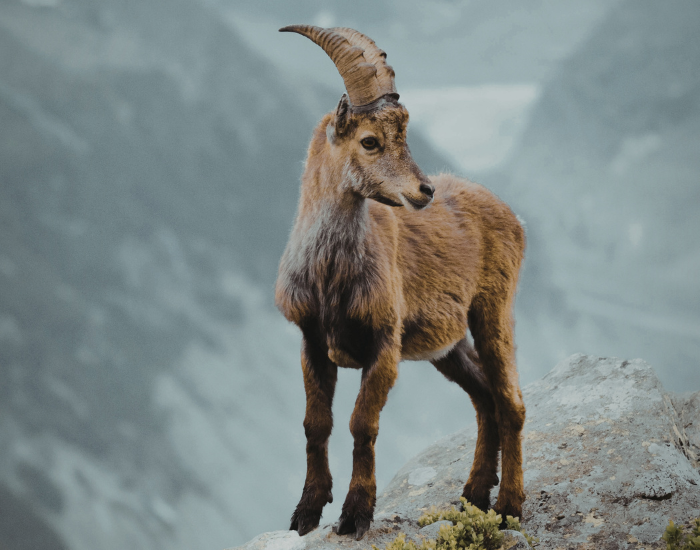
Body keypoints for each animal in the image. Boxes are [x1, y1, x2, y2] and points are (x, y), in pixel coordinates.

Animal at [275, 25, 526, 540]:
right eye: (370, 141)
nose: (424, 191)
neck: (329, 271)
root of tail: (514, 217)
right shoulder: (312, 341)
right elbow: (316, 424)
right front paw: (306, 512)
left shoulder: (384, 343)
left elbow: (362, 425)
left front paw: (355, 514)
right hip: (447, 346)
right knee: (486, 399)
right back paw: (473, 495)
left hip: (492, 311)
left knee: (511, 402)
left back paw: (509, 507)